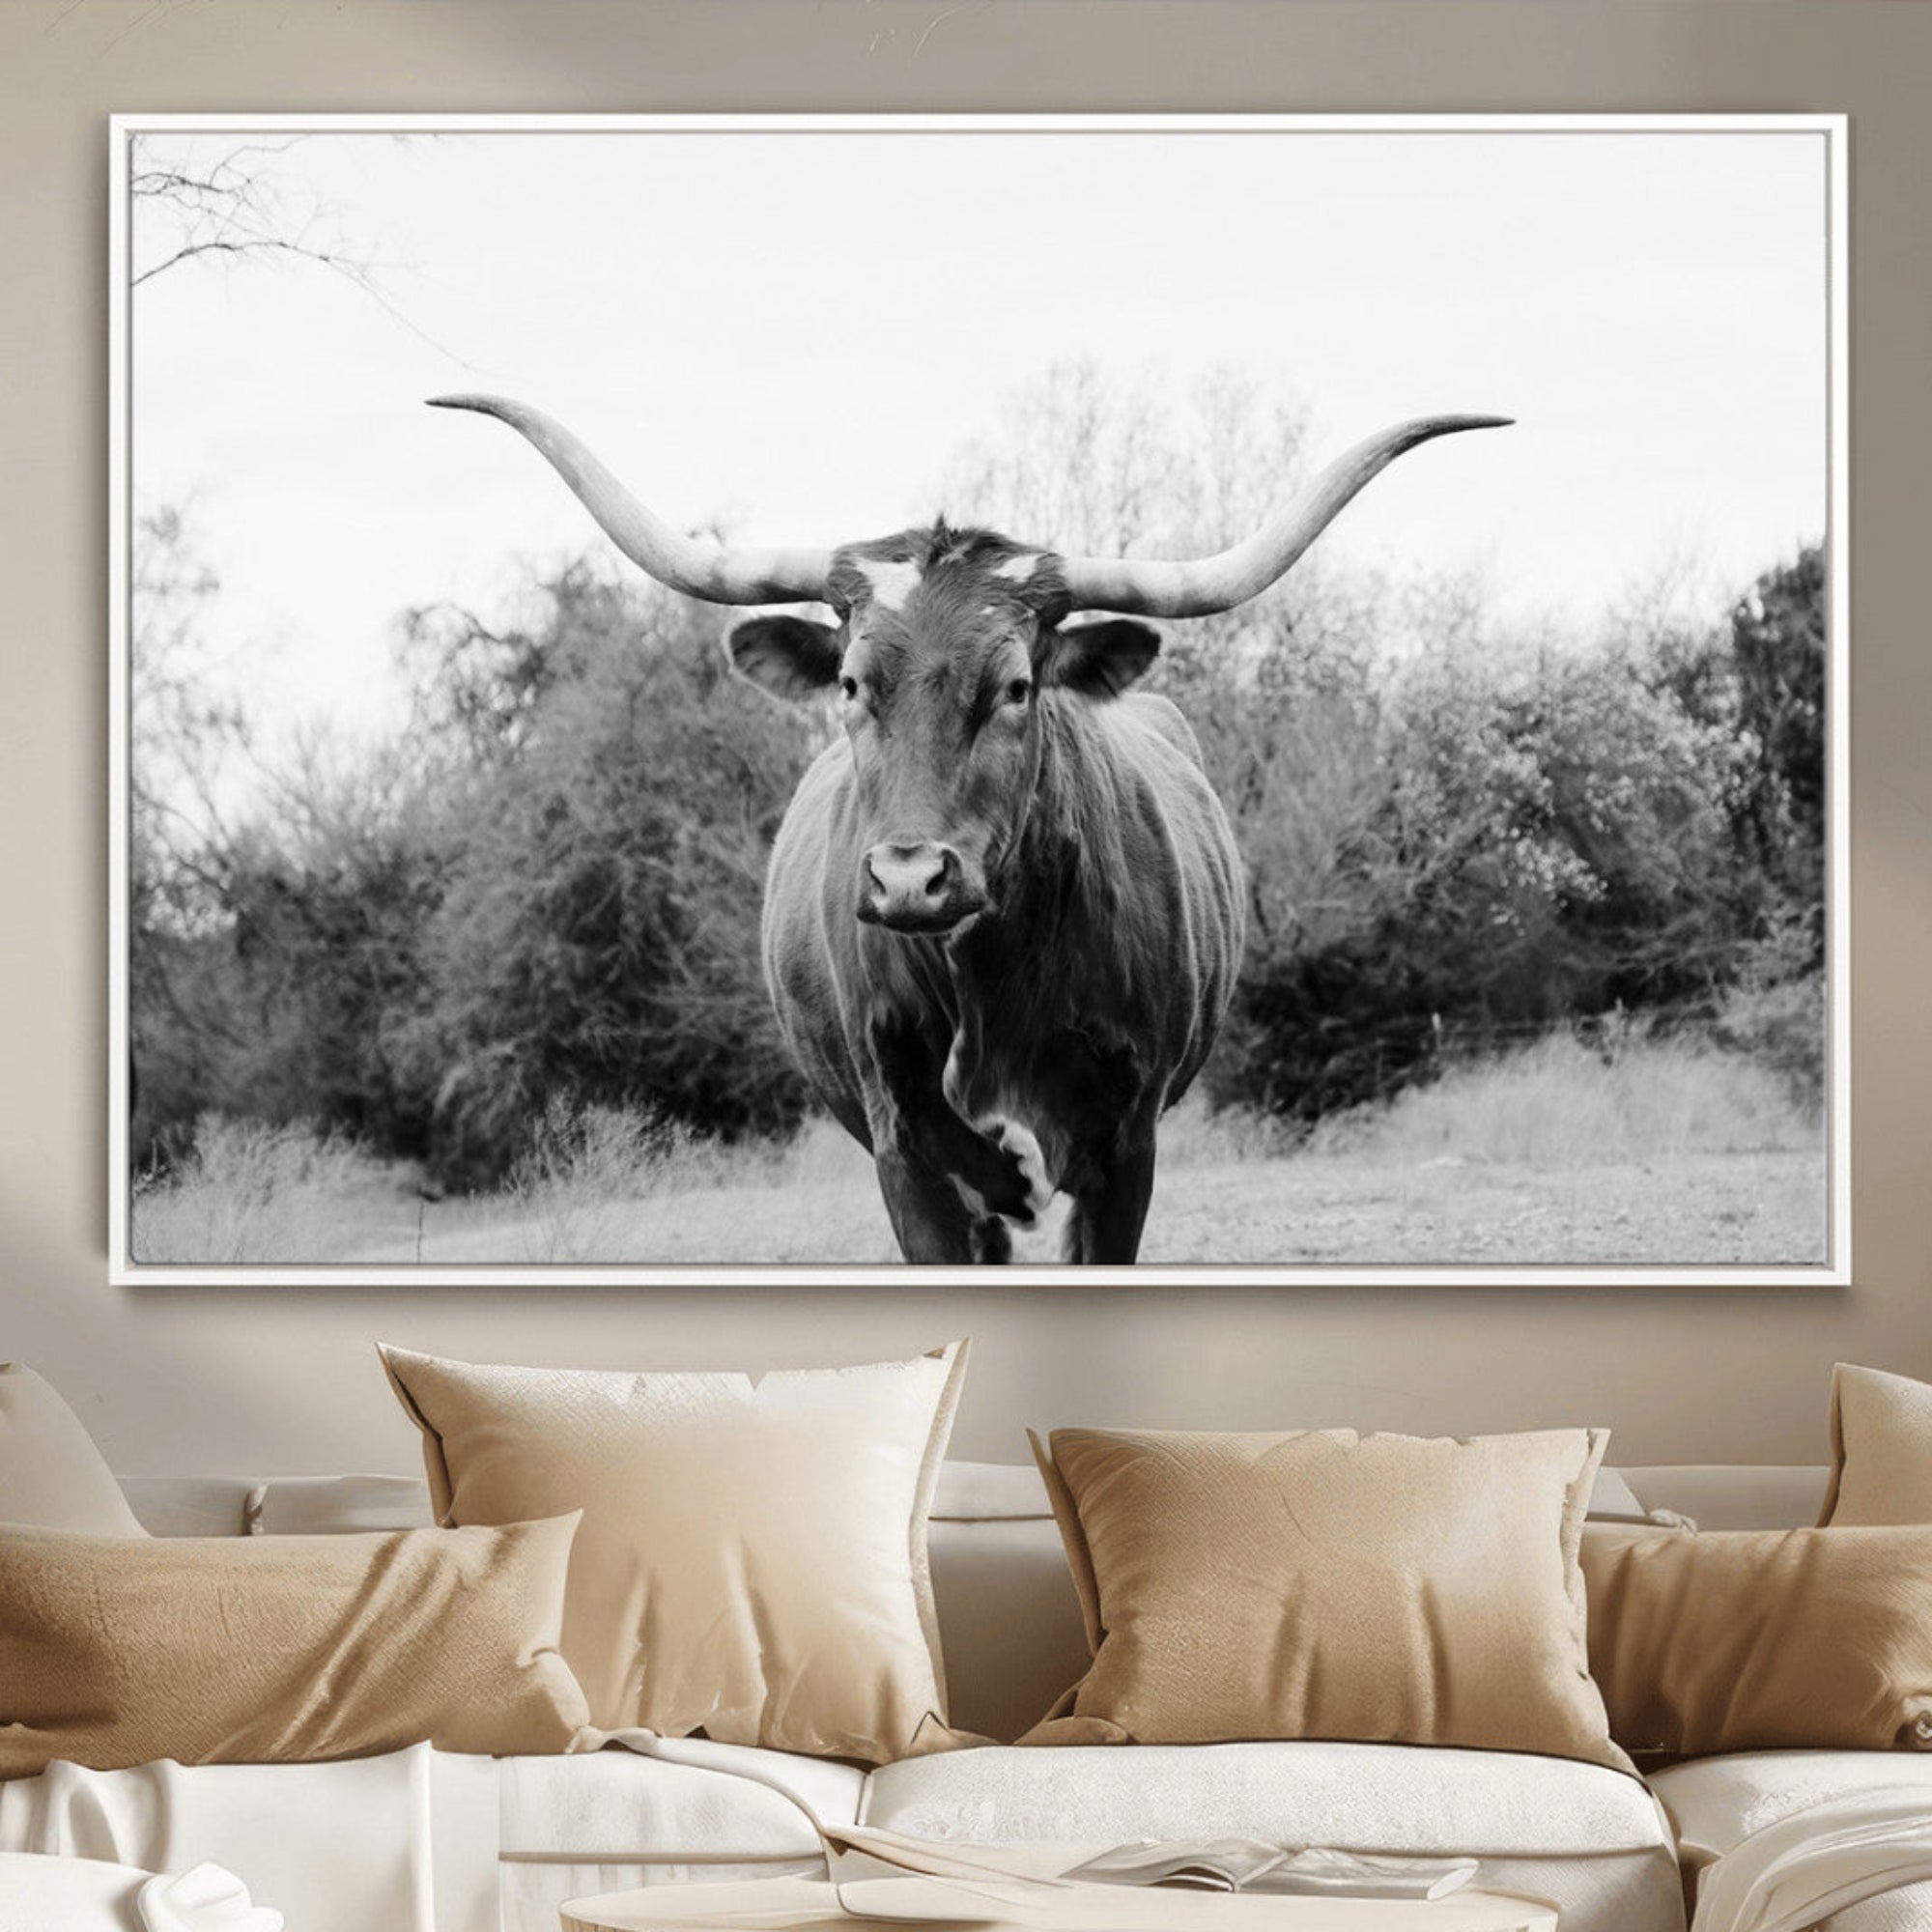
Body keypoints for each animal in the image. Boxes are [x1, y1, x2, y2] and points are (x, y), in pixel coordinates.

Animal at [430, 394, 1506, 1264]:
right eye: (851, 683)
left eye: (1017, 686)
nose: (910, 878)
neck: (989, 980)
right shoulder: (901, 1141)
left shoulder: (1126, 1144)